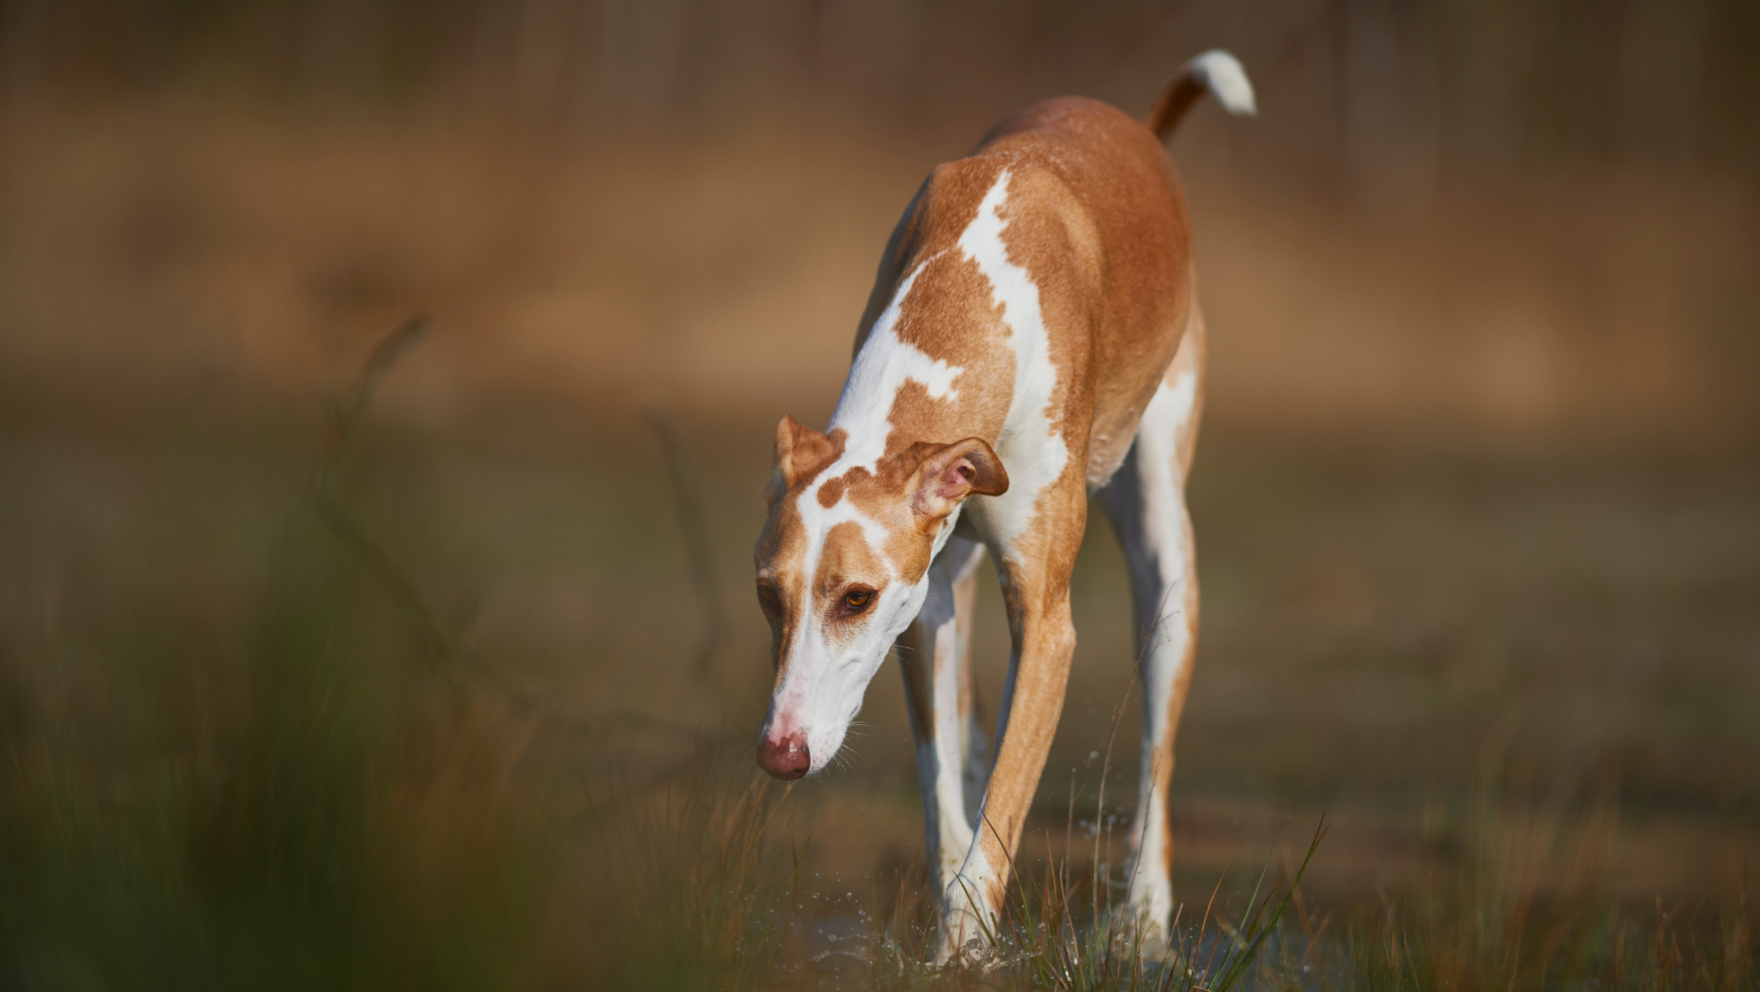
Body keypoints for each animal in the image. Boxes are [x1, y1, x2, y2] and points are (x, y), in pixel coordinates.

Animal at [749, 54, 1260, 963]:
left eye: (855, 598)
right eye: (767, 594)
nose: (781, 754)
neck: (974, 280)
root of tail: (1137, 127)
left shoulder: (1045, 624)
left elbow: (1001, 815)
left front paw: (967, 948)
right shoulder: (925, 609)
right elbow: (945, 805)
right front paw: (956, 934)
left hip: (1164, 556)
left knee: (1156, 751)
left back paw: (1143, 919)